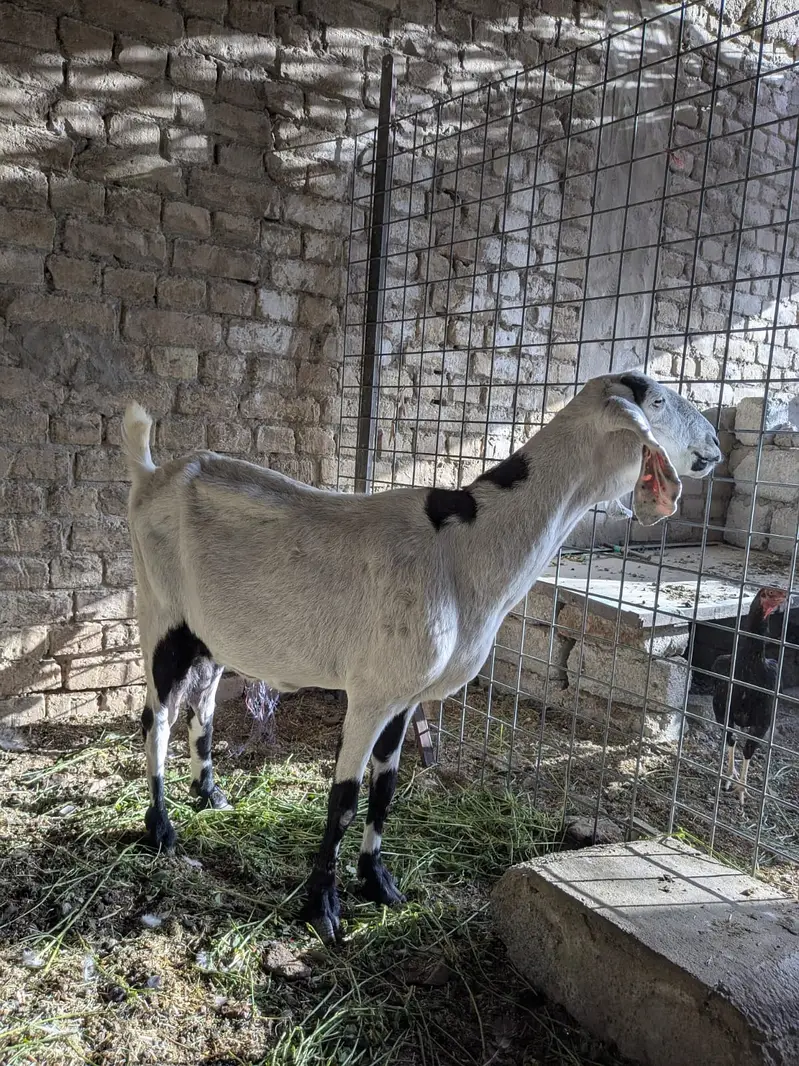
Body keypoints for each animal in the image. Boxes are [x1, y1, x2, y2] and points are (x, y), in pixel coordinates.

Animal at [122, 370, 721, 941]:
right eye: (657, 400)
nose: (714, 444)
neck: (467, 547)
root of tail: (150, 474)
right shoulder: (371, 692)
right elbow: (343, 799)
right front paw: (323, 908)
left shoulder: (405, 694)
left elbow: (386, 788)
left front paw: (379, 884)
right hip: (160, 612)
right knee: (157, 716)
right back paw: (162, 828)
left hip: (208, 634)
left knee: (202, 706)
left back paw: (209, 794)